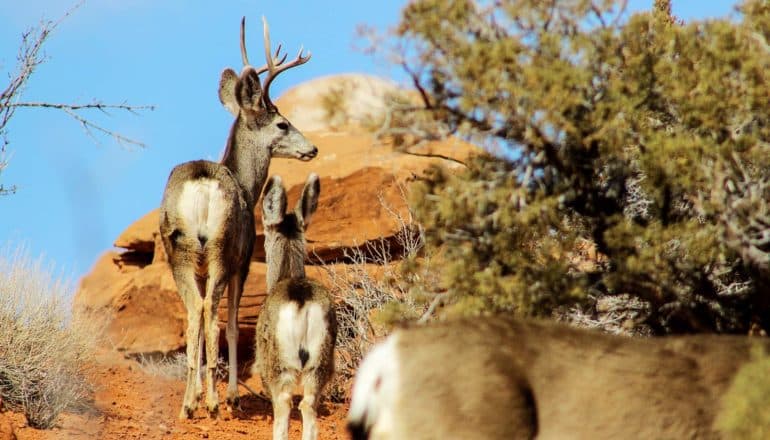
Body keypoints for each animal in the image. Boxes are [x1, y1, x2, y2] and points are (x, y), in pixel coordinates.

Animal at [158, 17, 316, 420]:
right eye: (282, 124)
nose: (312, 148)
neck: (245, 182)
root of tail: (201, 181)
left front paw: (198, 393)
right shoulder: (243, 260)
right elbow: (230, 325)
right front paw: (228, 396)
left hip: (180, 249)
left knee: (193, 313)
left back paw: (188, 404)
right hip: (221, 245)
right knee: (212, 314)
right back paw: (216, 402)